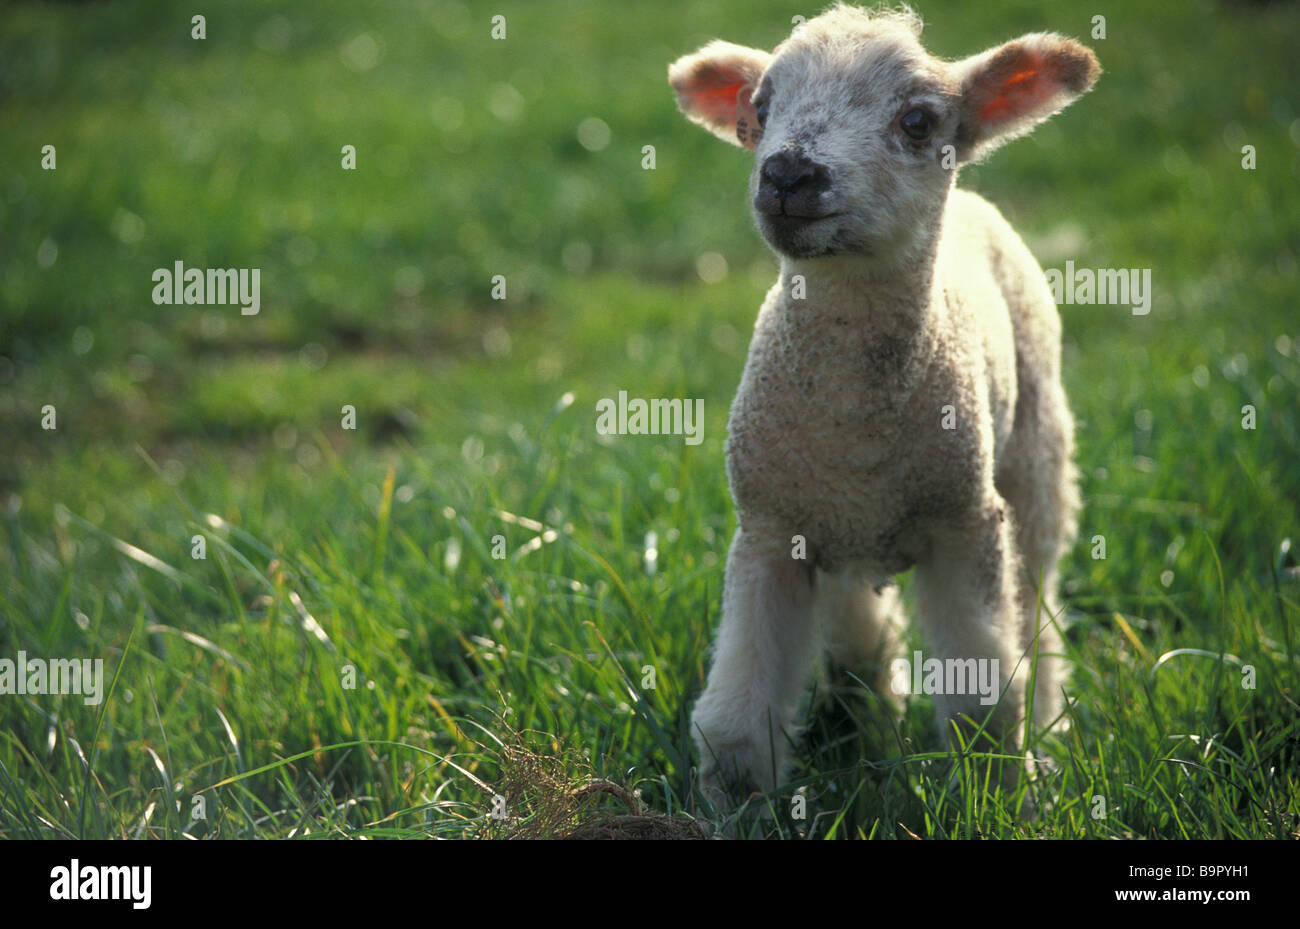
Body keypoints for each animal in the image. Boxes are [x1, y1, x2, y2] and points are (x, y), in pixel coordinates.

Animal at [667, 3, 1098, 812]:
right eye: (760, 107)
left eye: (919, 122)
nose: (788, 173)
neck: (854, 423)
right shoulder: (768, 528)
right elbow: (735, 717)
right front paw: (738, 811)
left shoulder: (966, 521)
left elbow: (984, 701)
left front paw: (995, 797)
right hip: (835, 527)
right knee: (858, 615)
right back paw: (864, 704)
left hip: (1036, 454)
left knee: (1041, 606)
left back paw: (1050, 729)